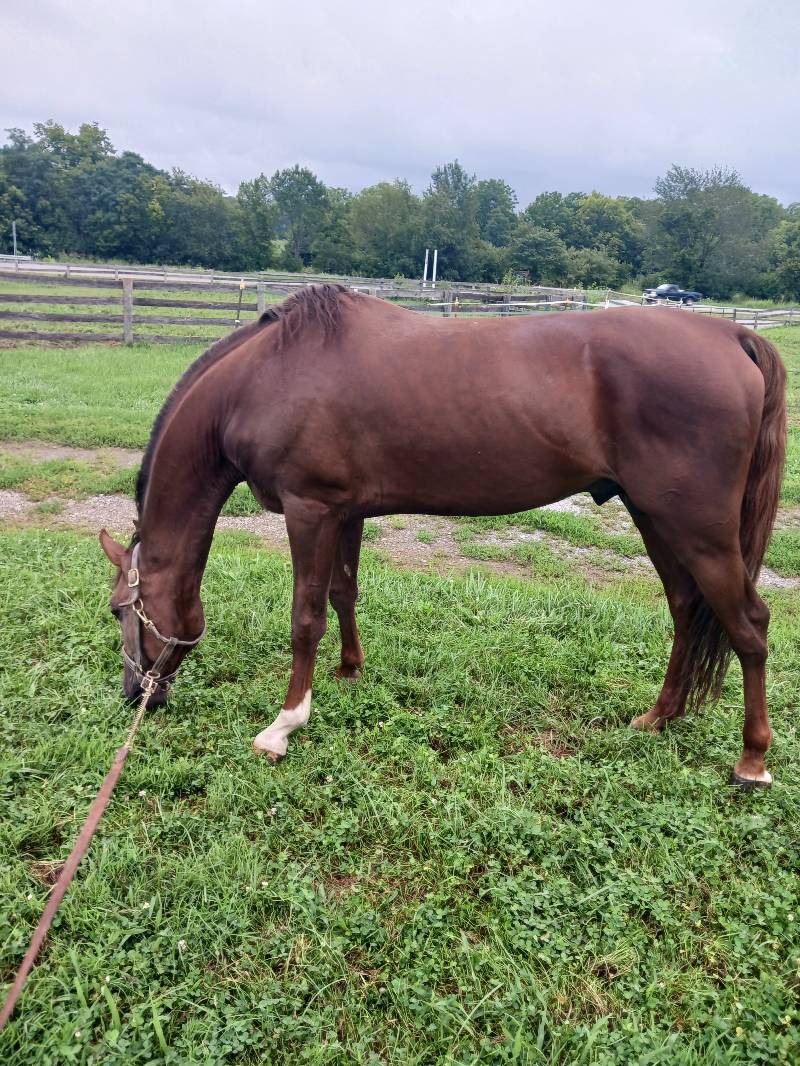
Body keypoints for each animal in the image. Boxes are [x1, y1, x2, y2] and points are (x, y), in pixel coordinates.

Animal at [99, 285, 786, 789]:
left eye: (117, 610)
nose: (137, 695)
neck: (267, 374)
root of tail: (731, 334)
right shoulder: (345, 513)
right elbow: (343, 594)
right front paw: (349, 671)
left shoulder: (309, 510)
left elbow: (305, 616)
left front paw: (285, 725)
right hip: (655, 518)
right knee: (687, 610)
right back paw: (658, 717)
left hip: (697, 528)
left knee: (749, 623)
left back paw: (752, 761)